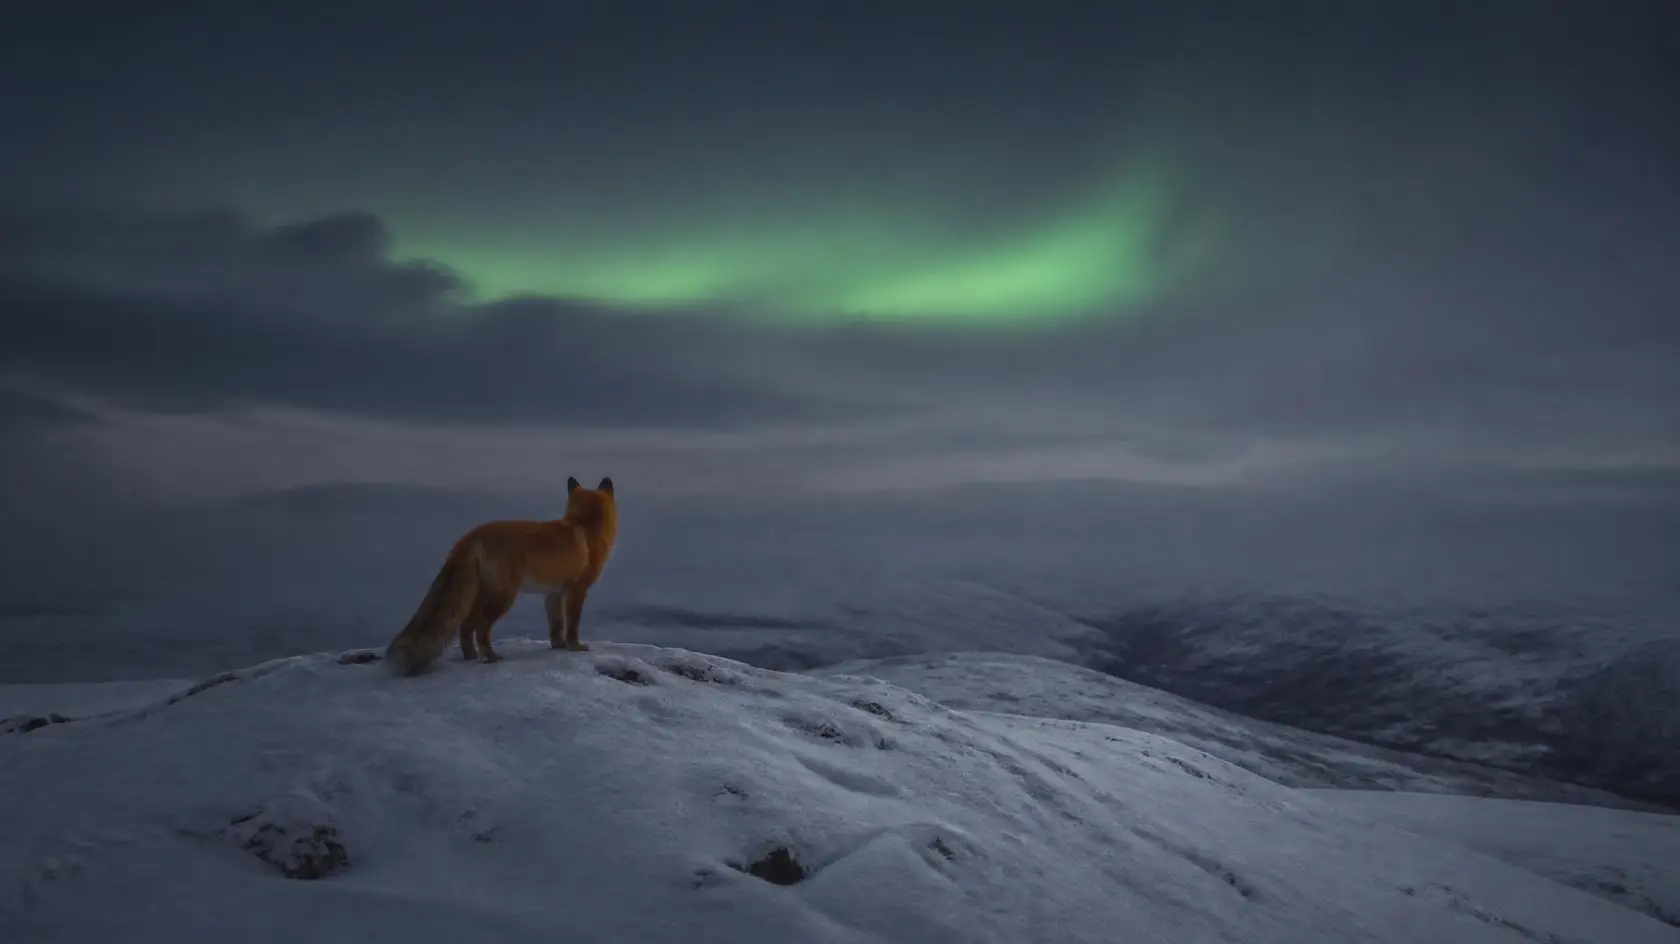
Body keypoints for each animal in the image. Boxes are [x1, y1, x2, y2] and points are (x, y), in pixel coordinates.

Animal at [384, 476, 618, 677]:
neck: (585, 526)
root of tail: (471, 536)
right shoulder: (577, 591)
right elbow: (572, 625)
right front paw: (575, 647)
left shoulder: (553, 593)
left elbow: (556, 626)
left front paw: (558, 647)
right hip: (503, 597)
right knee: (480, 628)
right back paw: (491, 657)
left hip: (480, 597)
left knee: (465, 626)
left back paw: (472, 656)